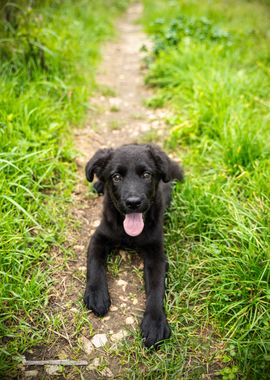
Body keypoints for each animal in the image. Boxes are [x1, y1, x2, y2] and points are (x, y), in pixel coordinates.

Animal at [84, 142, 184, 348]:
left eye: (146, 175)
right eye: (116, 177)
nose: (133, 202)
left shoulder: (156, 253)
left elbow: (156, 287)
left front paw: (155, 322)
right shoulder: (99, 237)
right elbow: (94, 265)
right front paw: (97, 295)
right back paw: (98, 184)